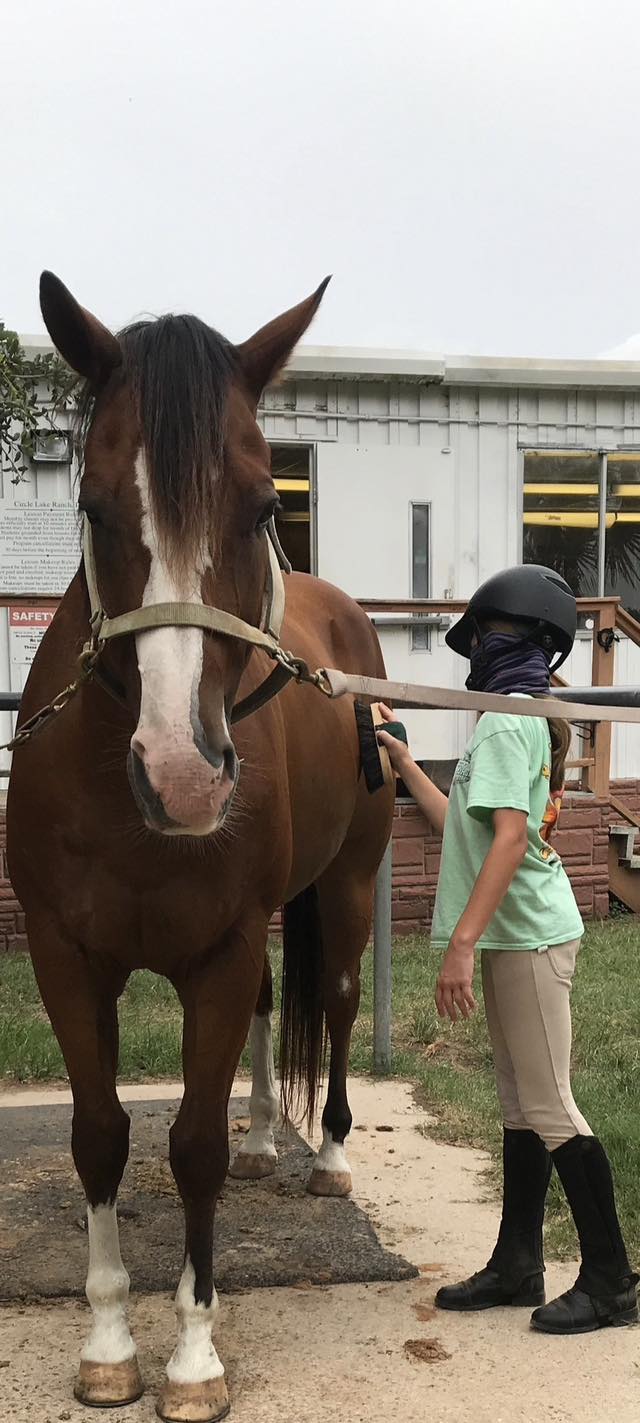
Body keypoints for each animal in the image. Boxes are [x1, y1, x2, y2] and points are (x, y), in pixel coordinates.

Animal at [7, 272, 395, 1422]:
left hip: (346, 890)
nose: (182, 774)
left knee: (335, 1004)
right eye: (93, 507)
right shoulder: (66, 957)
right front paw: (105, 1344)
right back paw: (273, 1135)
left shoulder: (215, 956)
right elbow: (100, 1135)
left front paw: (192, 1357)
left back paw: (325, 1156)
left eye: (266, 507)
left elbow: (192, 1145)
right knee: (274, 1012)